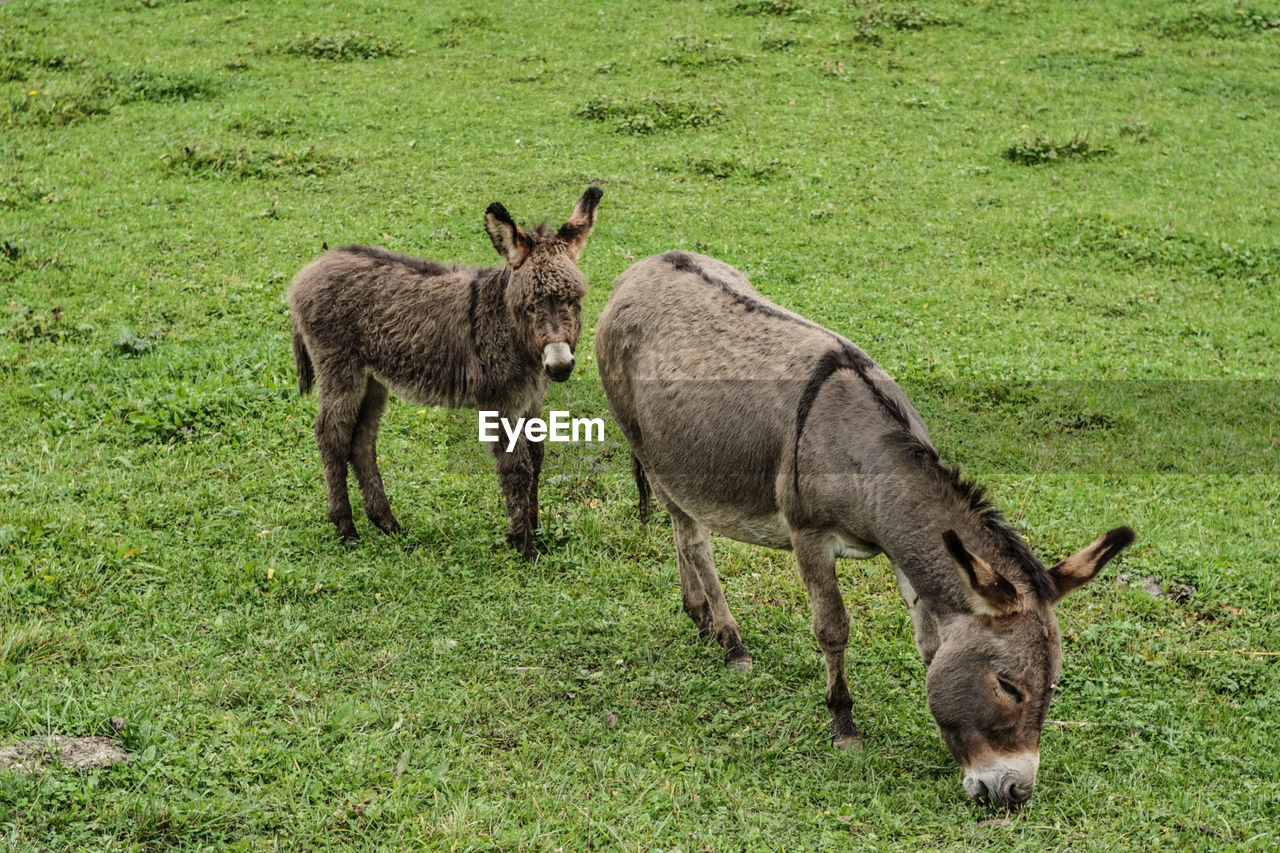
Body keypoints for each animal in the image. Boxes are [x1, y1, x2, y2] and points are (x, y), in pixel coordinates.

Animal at [290, 188, 599, 555]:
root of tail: (310, 270)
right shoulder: (500, 402)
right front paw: (525, 545)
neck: (508, 328)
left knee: (361, 441)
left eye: (574, 300)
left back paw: (386, 522)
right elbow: (517, 466)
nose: (560, 366)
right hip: (340, 370)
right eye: (529, 306)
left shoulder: (531, 399)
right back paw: (346, 528)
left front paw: (534, 529)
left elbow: (536, 458)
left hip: (372, 379)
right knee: (331, 435)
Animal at [593, 251, 1136, 804]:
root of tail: (645, 266)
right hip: (650, 450)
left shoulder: (903, 553)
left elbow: (929, 645)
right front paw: (844, 725)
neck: (865, 452)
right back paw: (730, 640)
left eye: (1052, 688)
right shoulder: (808, 536)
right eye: (1009, 686)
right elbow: (833, 628)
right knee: (692, 536)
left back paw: (700, 616)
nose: (1016, 794)